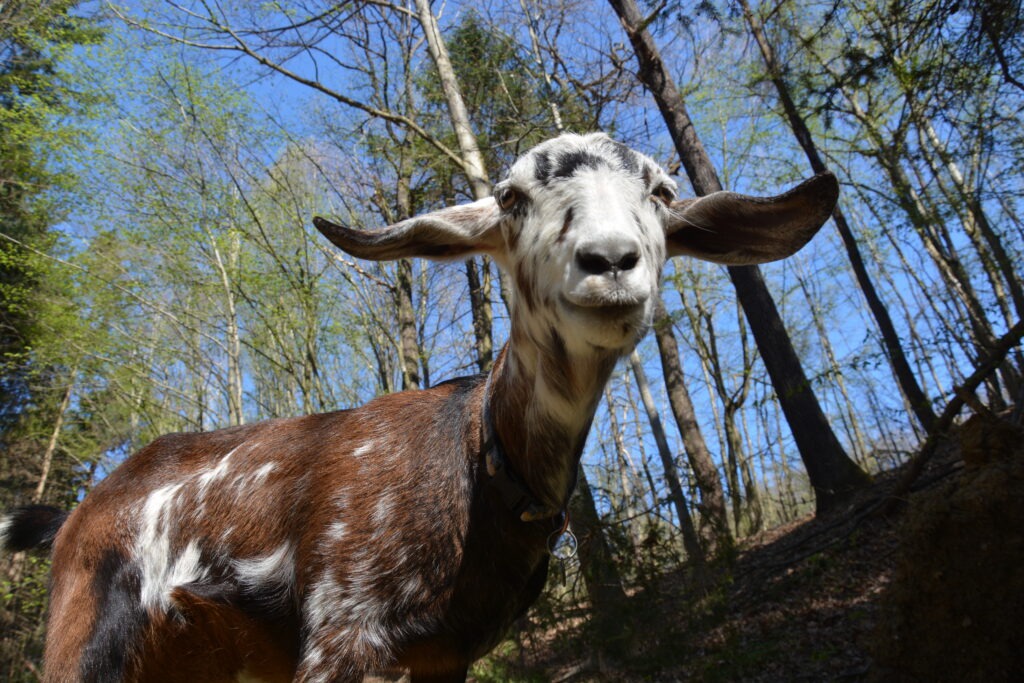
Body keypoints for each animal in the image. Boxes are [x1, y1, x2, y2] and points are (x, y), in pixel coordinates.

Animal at [1, 133, 837, 682]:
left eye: (661, 192)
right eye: (510, 196)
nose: (608, 262)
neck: (475, 456)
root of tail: (72, 513)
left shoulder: (446, 655)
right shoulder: (341, 627)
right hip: (86, 640)